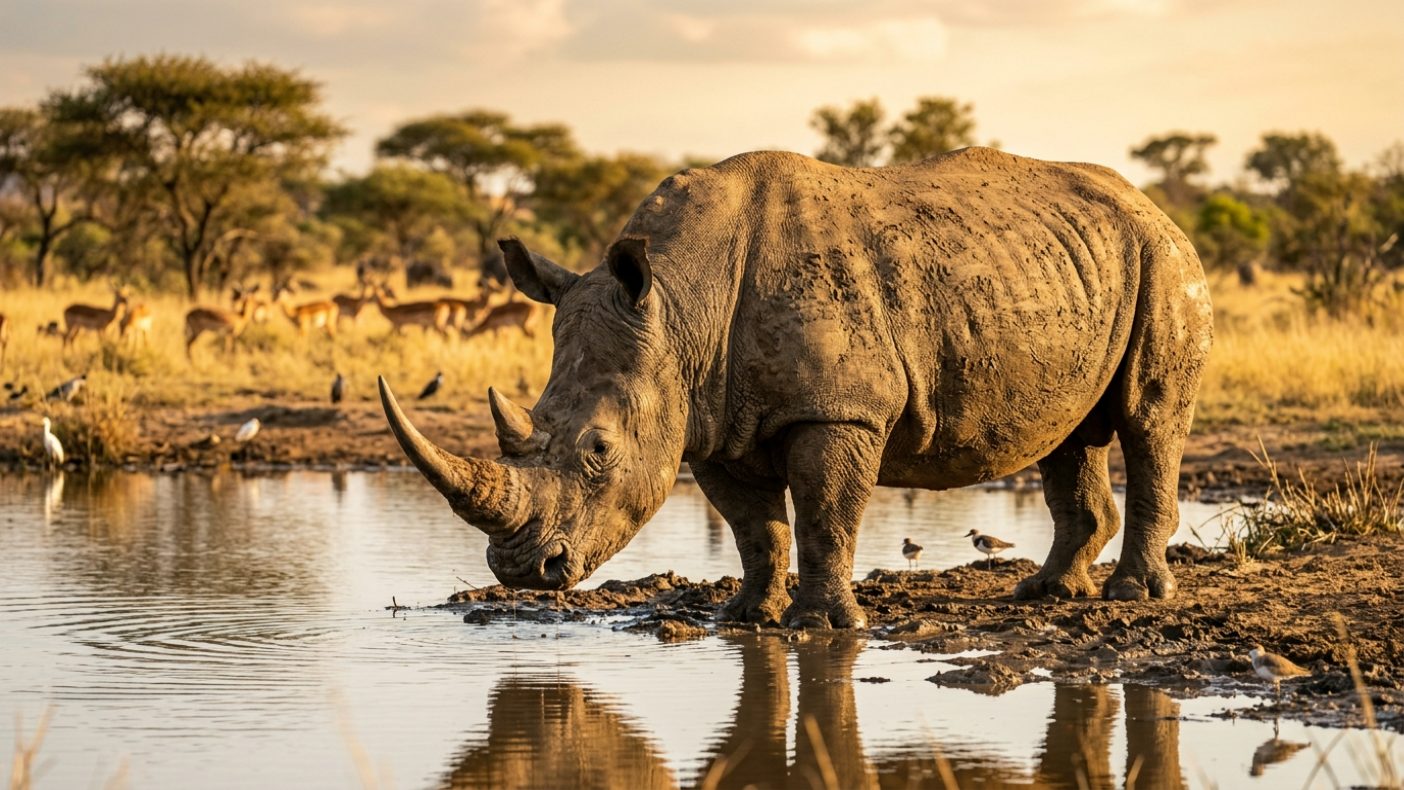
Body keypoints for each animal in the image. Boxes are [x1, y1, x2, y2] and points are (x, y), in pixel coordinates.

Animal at [378, 147, 1213, 629]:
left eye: (598, 449)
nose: (523, 571)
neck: (679, 304)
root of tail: (1153, 206)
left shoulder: (840, 409)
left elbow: (823, 513)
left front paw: (824, 626)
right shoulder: (708, 418)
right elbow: (755, 526)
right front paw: (748, 616)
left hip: (1166, 263)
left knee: (1149, 420)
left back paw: (1131, 598)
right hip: (1071, 267)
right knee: (1068, 434)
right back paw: (1047, 596)